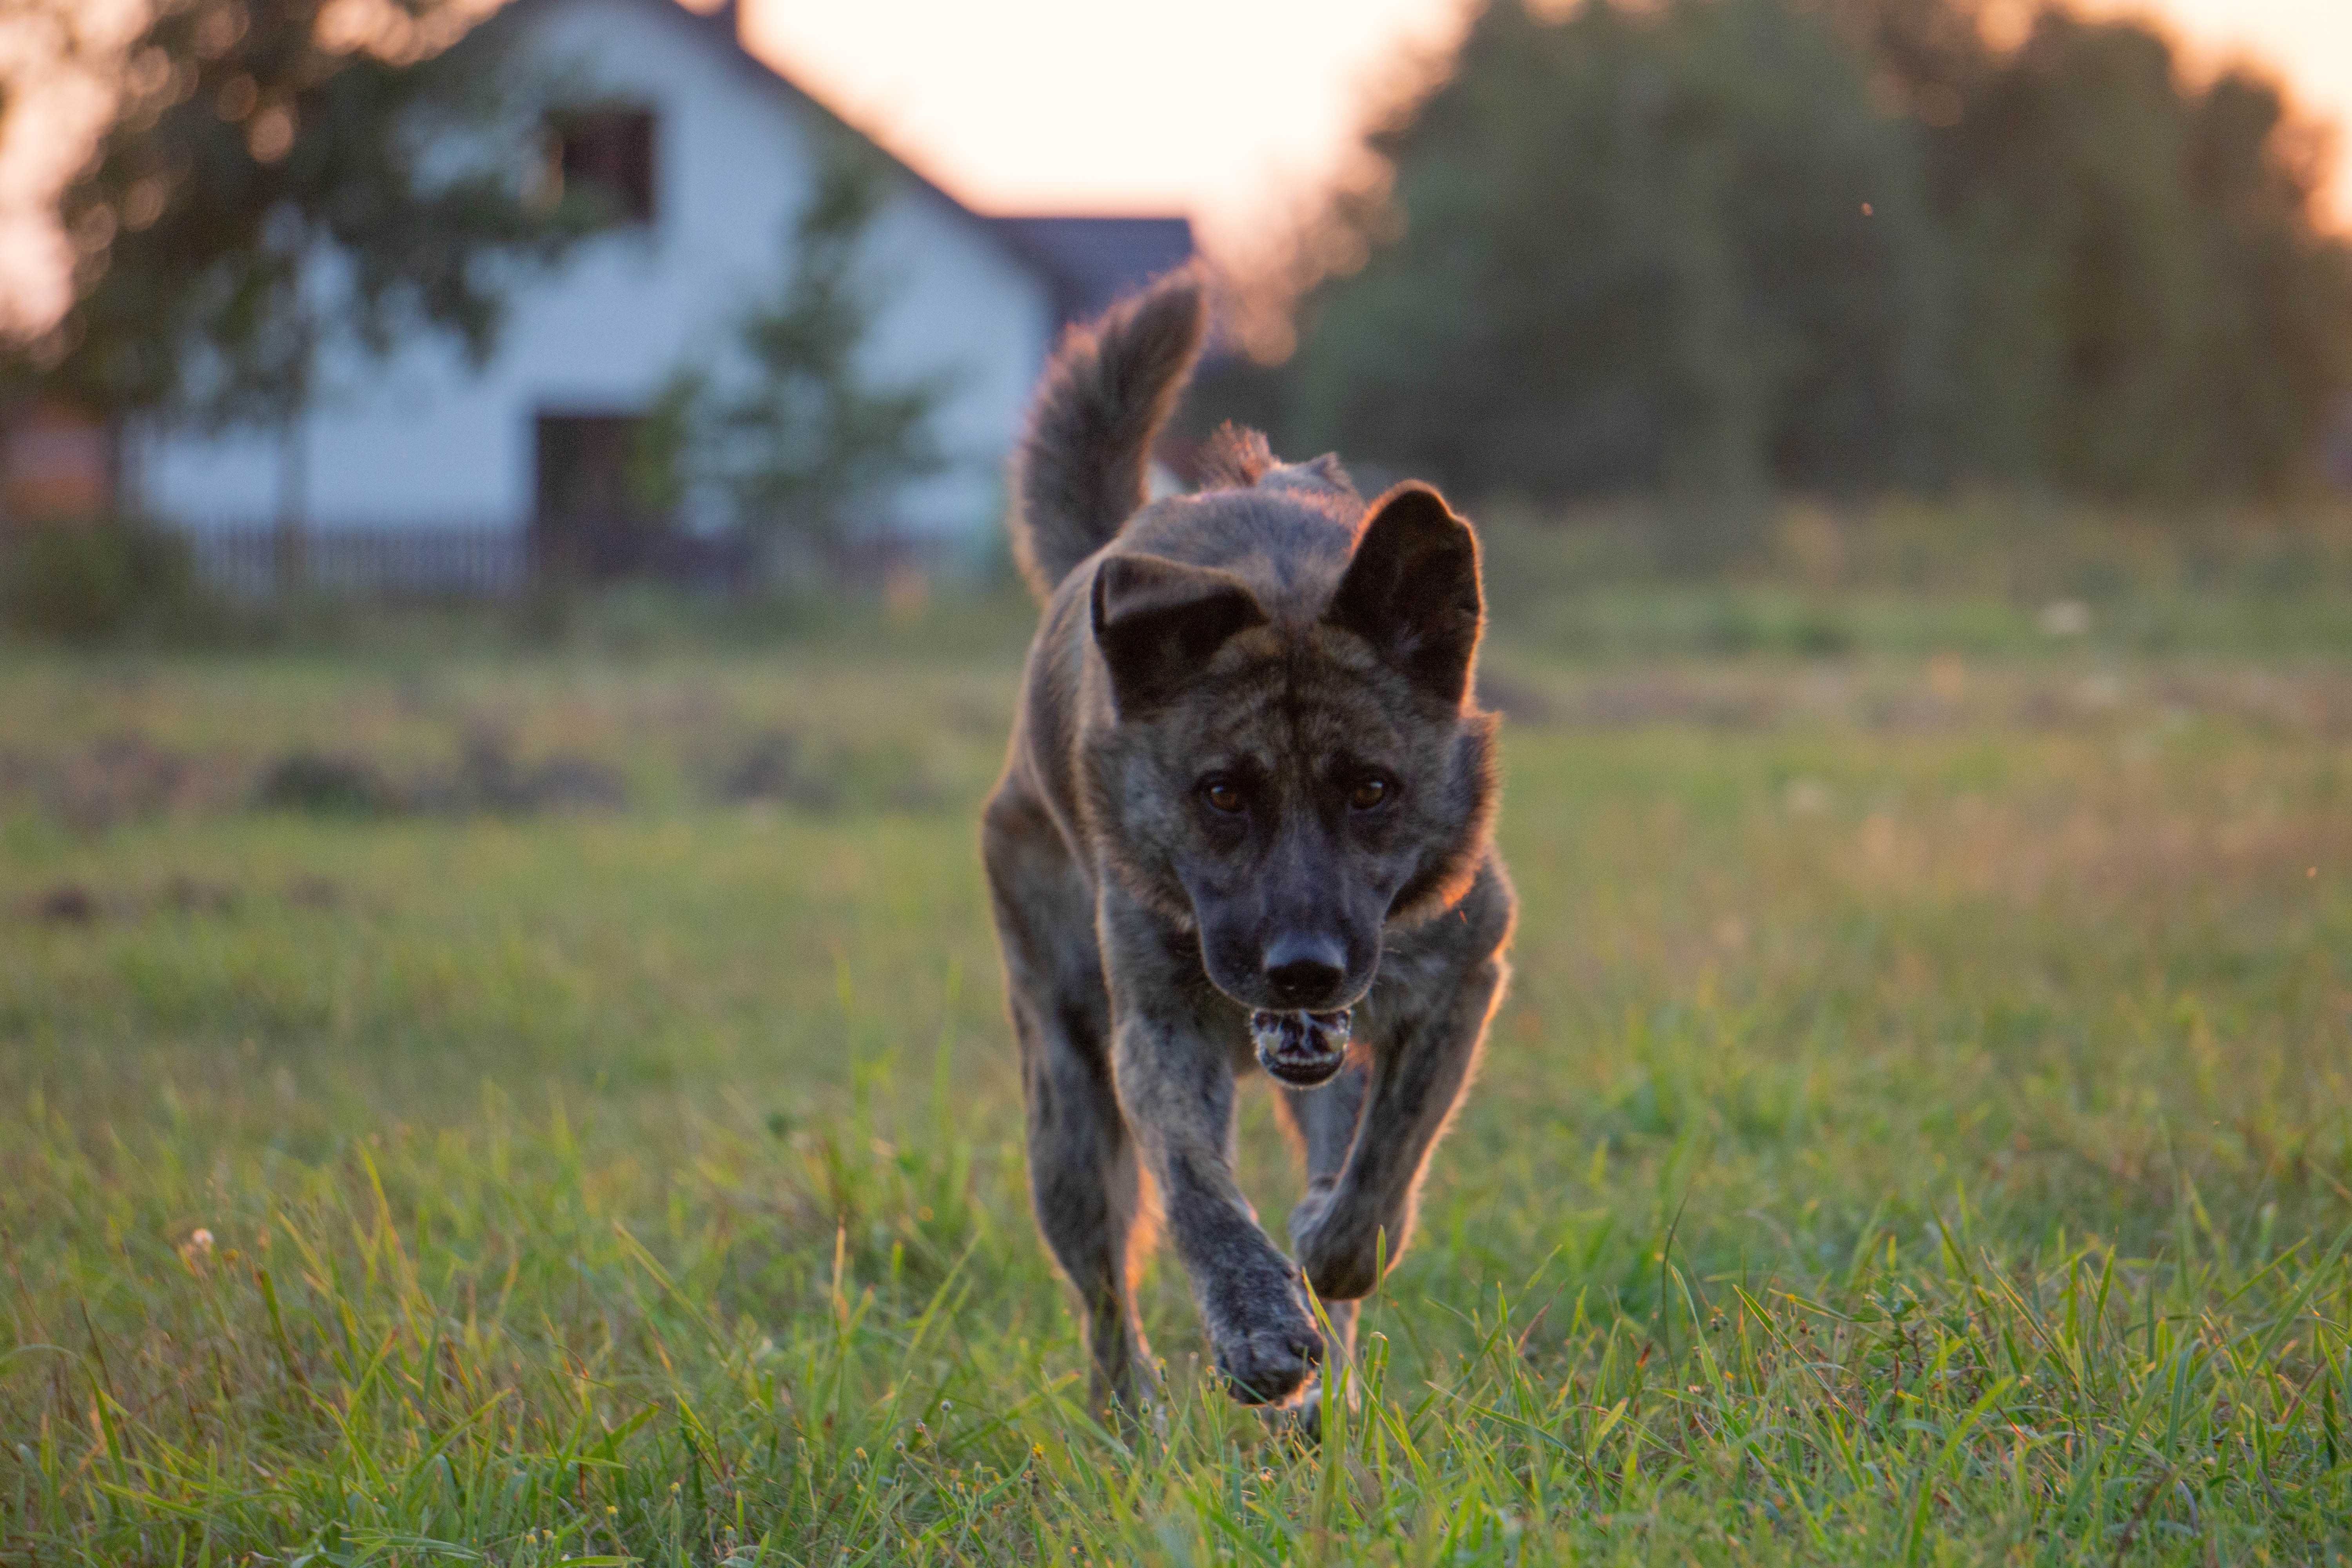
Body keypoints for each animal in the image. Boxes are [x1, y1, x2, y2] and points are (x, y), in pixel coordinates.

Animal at [983, 263, 1515, 1420]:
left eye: (1372, 790)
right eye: (1222, 793)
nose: (1301, 970)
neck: (1276, 579)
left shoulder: (1460, 976)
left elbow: (1382, 1173)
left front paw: (1327, 1252)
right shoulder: (1157, 1029)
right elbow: (1198, 1187)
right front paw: (1257, 1321)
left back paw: (1330, 1399)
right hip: (1065, 1110)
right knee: (1106, 1290)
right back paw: (1130, 1419)